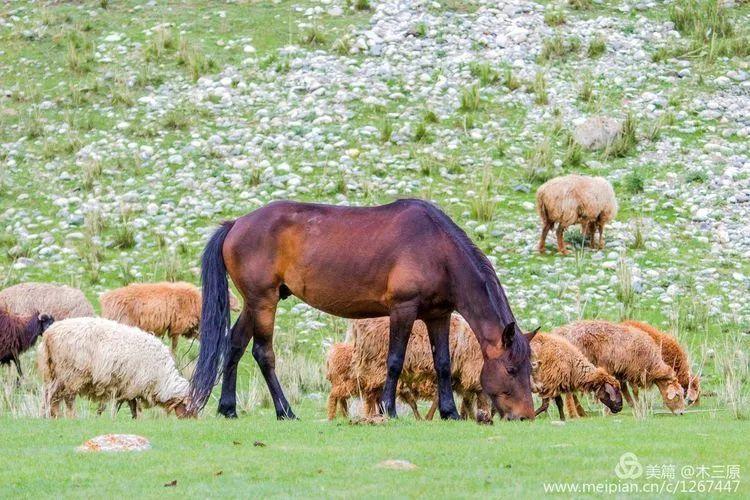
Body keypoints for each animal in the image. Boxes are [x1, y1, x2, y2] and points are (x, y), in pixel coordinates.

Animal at [37, 316, 191, 418]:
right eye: (187, 406)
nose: (189, 421)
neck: (162, 378)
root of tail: (49, 334)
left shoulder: (126, 386)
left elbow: (126, 406)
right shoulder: (136, 385)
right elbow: (135, 407)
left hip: (52, 373)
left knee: (50, 396)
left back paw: (50, 416)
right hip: (72, 374)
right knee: (67, 398)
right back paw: (70, 417)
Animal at [100, 282, 239, 352]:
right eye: (227, 294)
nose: (239, 306)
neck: (199, 301)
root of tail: (106, 299)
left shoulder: (189, 329)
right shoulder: (178, 326)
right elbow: (174, 348)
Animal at [191, 199, 536, 422]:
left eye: (530, 369)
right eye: (510, 369)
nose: (526, 416)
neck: (438, 249)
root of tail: (235, 224)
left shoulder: (438, 315)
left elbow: (443, 364)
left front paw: (449, 412)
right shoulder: (403, 310)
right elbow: (394, 361)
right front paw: (389, 409)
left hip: (255, 302)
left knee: (235, 344)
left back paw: (228, 408)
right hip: (264, 301)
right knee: (263, 353)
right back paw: (285, 411)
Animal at [556, 320, 692, 414]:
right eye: (677, 395)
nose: (681, 413)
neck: (652, 364)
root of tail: (560, 332)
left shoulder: (622, 371)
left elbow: (624, 389)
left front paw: (632, 405)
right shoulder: (634, 370)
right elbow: (634, 390)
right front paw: (635, 405)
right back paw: (577, 413)